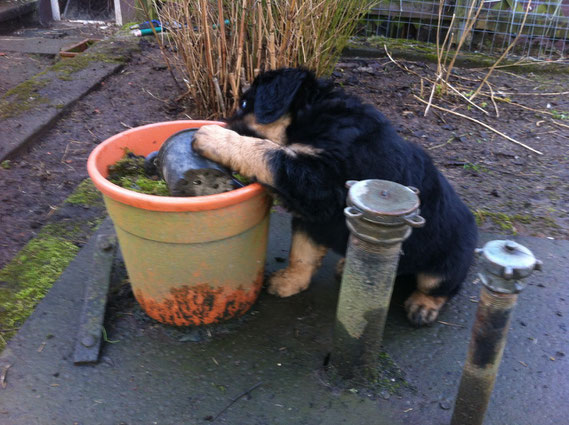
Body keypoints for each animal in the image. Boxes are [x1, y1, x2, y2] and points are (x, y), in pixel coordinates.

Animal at [193, 68, 478, 324]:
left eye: (244, 103)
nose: (222, 124)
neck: (313, 118)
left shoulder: (320, 180)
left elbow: (269, 152)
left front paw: (215, 138)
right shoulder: (313, 216)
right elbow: (302, 252)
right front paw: (289, 281)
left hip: (448, 262)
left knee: (441, 285)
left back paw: (423, 306)